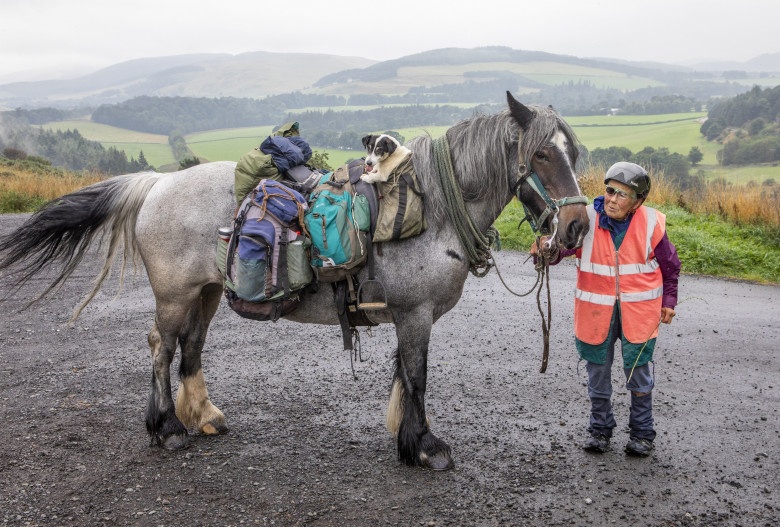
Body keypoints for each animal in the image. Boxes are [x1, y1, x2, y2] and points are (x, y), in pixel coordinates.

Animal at [0, 91, 584, 470]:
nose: (577, 226)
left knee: (191, 346)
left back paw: (202, 415)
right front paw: (424, 446)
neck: (431, 206)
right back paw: (165, 429)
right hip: (174, 294)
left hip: (206, 292)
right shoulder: (415, 314)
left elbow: (402, 374)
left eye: (573, 153)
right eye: (540, 153)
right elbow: (417, 376)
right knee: (160, 347)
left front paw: (405, 437)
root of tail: (158, 184)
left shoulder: (406, 315)